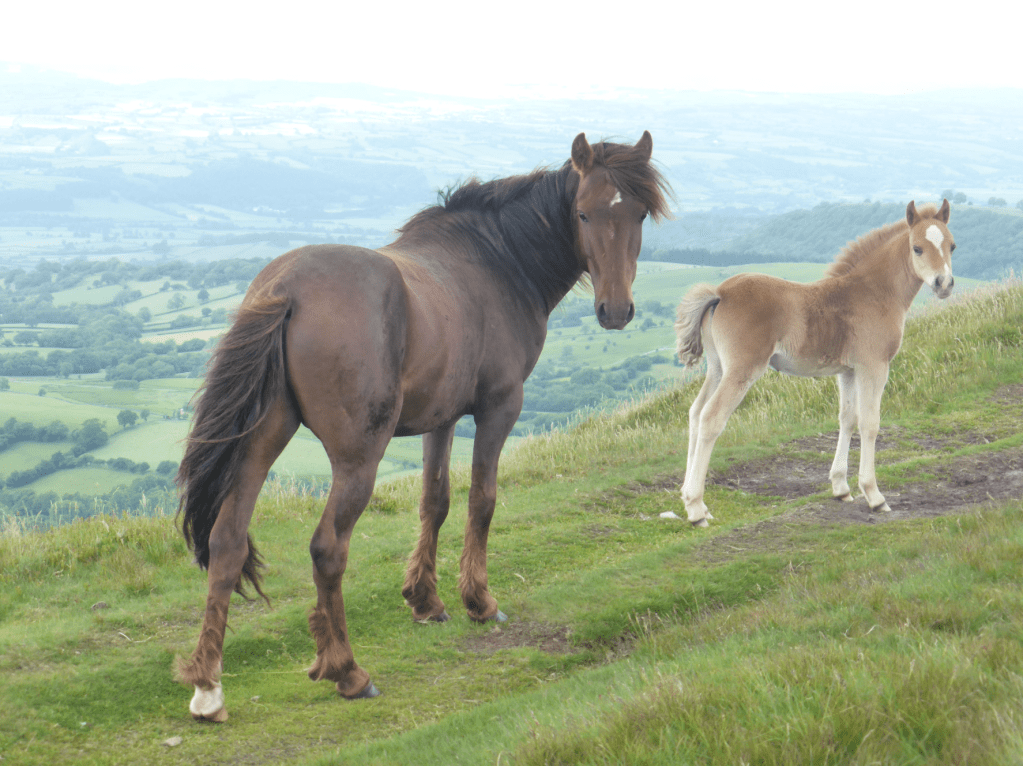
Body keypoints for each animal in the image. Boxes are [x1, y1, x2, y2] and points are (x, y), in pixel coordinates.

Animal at [175, 129, 671, 715]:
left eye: (637, 214)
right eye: (583, 212)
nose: (615, 311)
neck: (498, 262)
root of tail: (286, 290)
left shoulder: (442, 417)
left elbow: (435, 501)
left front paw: (425, 599)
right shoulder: (499, 407)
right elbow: (482, 499)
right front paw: (478, 599)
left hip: (261, 439)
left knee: (227, 541)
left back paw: (209, 686)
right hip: (358, 458)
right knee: (328, 549)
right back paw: (347, 670)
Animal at [675, 198, 953, 527]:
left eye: (952, 245)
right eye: (917, 248)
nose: (944, 283)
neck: (874, 293)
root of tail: (719, 293)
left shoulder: (848, 371)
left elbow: (848, 419)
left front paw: (841, 488)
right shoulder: (874, 366)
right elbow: (870, 423)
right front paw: (874, 495)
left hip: (718, 368)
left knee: (695, 413)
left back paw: (691, 501)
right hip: (742, 371)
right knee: (711, 418)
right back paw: (696, 509)